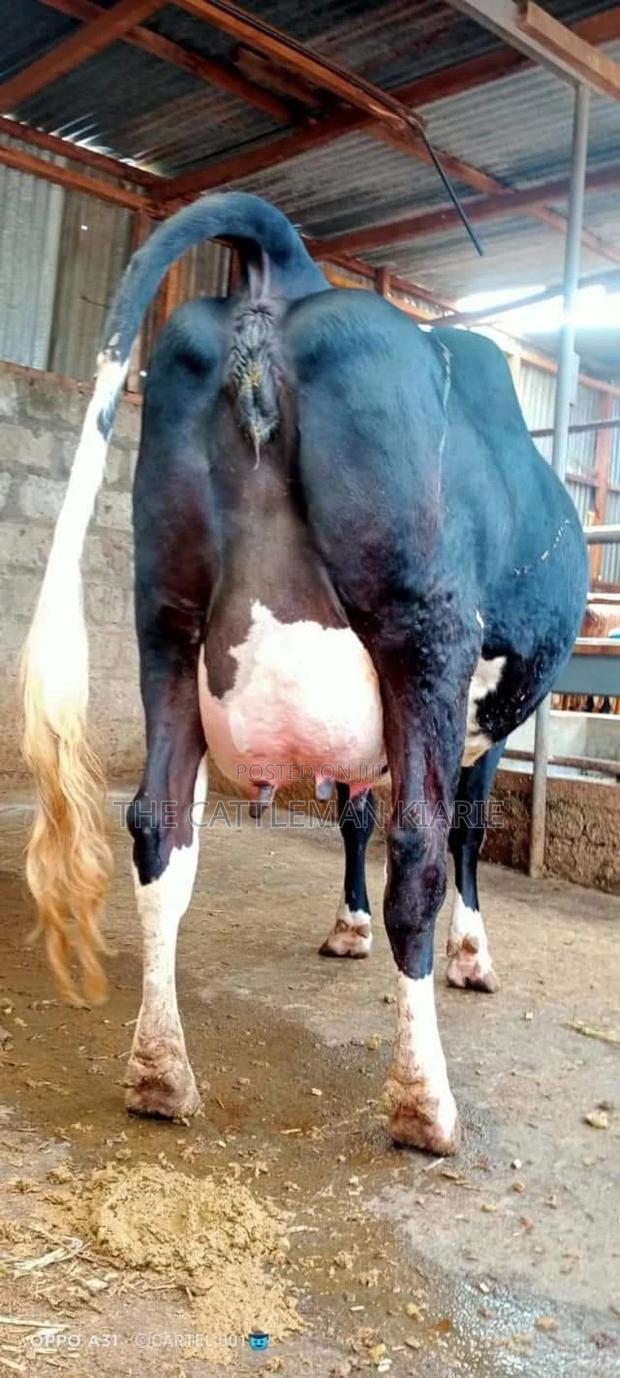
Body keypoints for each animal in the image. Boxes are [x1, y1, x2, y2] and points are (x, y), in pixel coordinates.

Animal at [21, 192, 588, 1156]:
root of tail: (287, 274)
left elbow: (352, 813)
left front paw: (346, 926)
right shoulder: (487, 715)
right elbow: (462, 831)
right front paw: (470, 956)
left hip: (165, 620)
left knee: (158, 827)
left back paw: (160, 1071)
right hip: (422, 629)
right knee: (421, 848)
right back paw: (423, 1102)